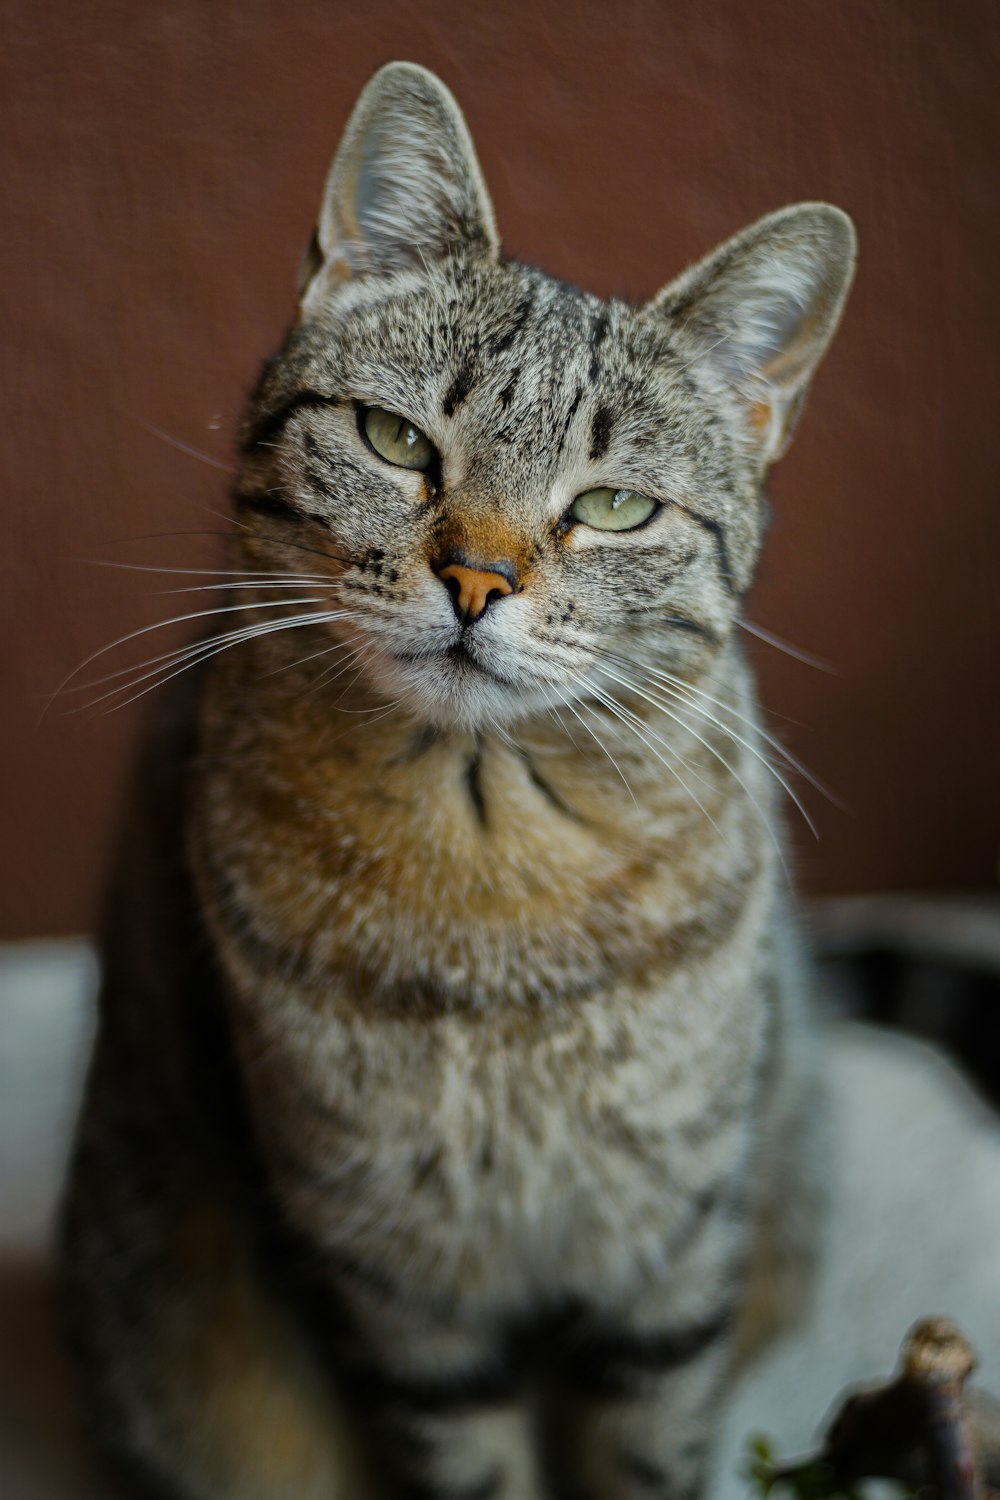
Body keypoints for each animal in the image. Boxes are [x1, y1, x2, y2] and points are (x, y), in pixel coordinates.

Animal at [62, 58, 857, 1500]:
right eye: (394, 439)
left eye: (612, 508)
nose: (476, 580)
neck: (491, 860)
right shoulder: (393, 1276)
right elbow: (467, 1457)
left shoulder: (675, 1240)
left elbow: (647, 1445)